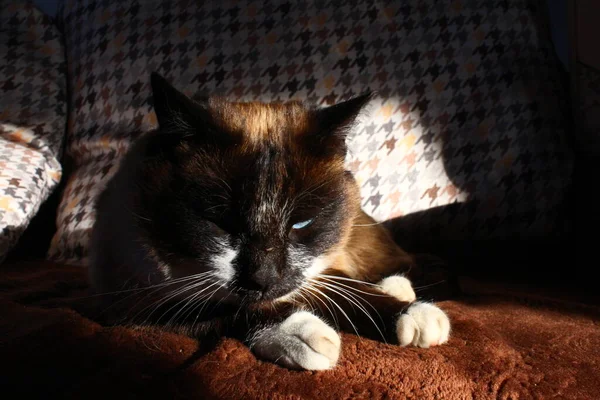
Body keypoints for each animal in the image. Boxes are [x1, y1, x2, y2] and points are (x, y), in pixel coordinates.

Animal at [86, 72, 448, 372]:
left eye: (301, 225)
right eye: (220, 223)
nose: (264, 277)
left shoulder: (315, 270)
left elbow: (341, 290)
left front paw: (411, 313)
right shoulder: (136, 304)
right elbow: (228, 309)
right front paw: (301, 332)